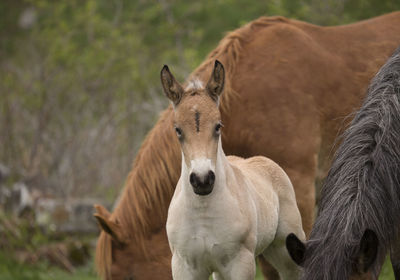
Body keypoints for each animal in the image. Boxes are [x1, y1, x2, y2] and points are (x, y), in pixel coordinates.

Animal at [161, 60, 304, 278]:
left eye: (218, 126)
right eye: (178, 130)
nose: (202, 180)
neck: (203, 212)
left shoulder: (240, 264)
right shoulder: (184, 267)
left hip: (287, 251)